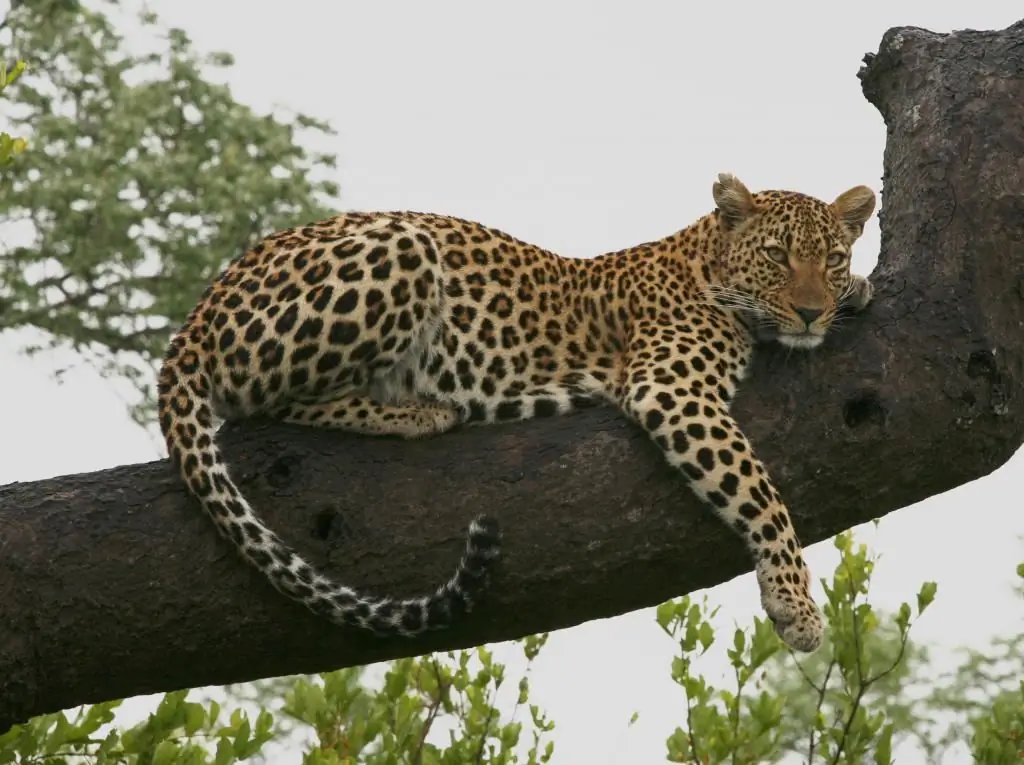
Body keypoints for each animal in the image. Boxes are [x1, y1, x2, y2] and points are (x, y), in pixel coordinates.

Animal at [155, 175, 876, 651]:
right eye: (778, 256)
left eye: (832, 258)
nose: (810, 312)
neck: (703, 259)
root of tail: (199, 312)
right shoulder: (671, 387)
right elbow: (762, 494)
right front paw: (795, 604)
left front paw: (859, 289)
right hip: (400, 248)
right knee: (266, 405)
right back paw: (419, 410)